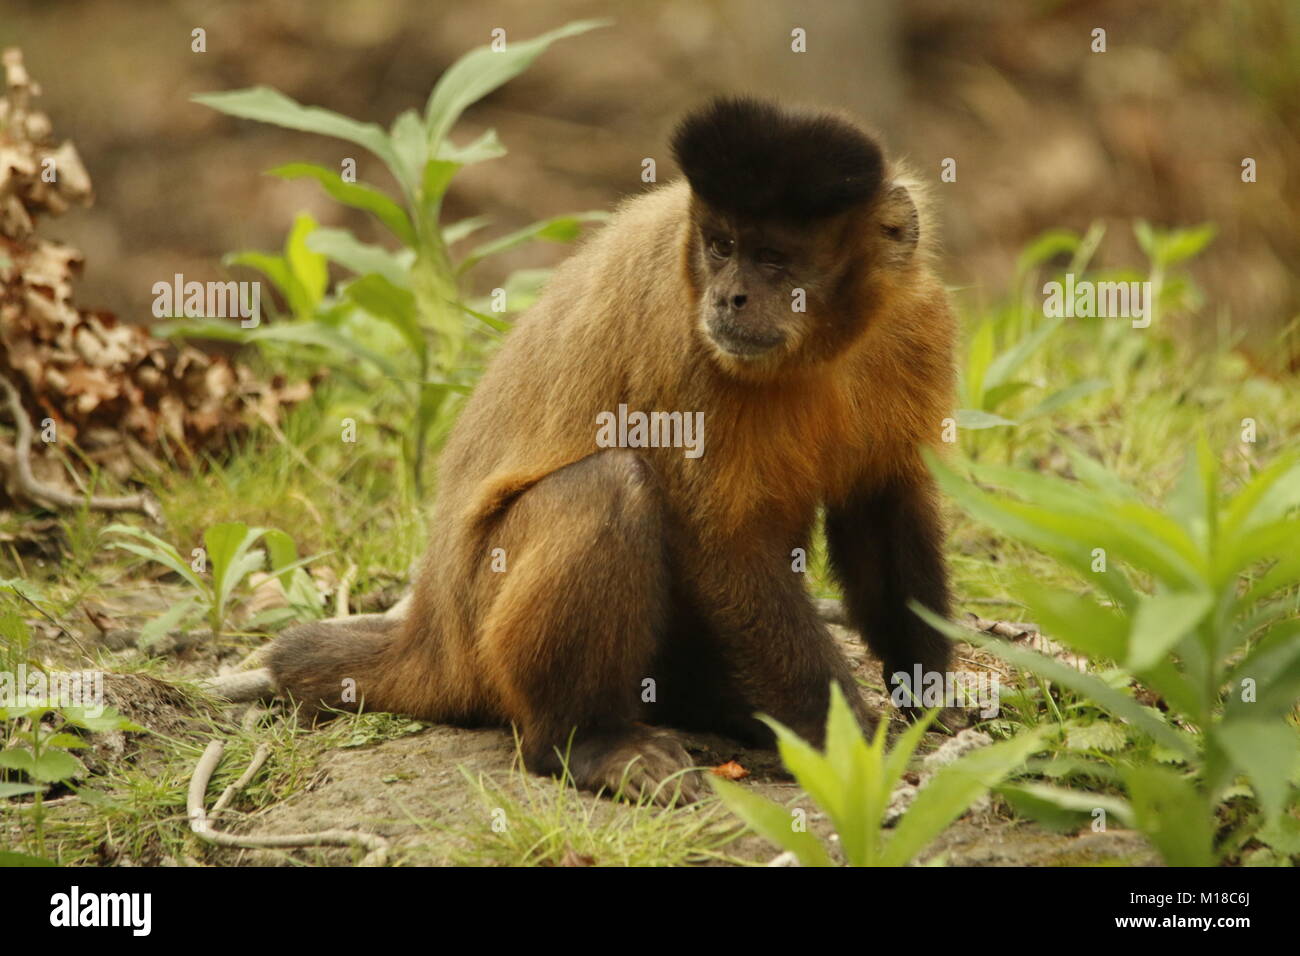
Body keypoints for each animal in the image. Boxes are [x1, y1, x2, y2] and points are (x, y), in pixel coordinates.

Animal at [270, 96, 955, 803]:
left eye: (772, 259)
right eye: (721, 247)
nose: (729, 296)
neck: (819, 349)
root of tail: (430, 633)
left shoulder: (916, 315)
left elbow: (881, 501)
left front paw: (926, 695)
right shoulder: (684, 340)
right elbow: (723, 546)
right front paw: (853, 751)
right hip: (482, 632)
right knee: (614, 487)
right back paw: (585, 741)